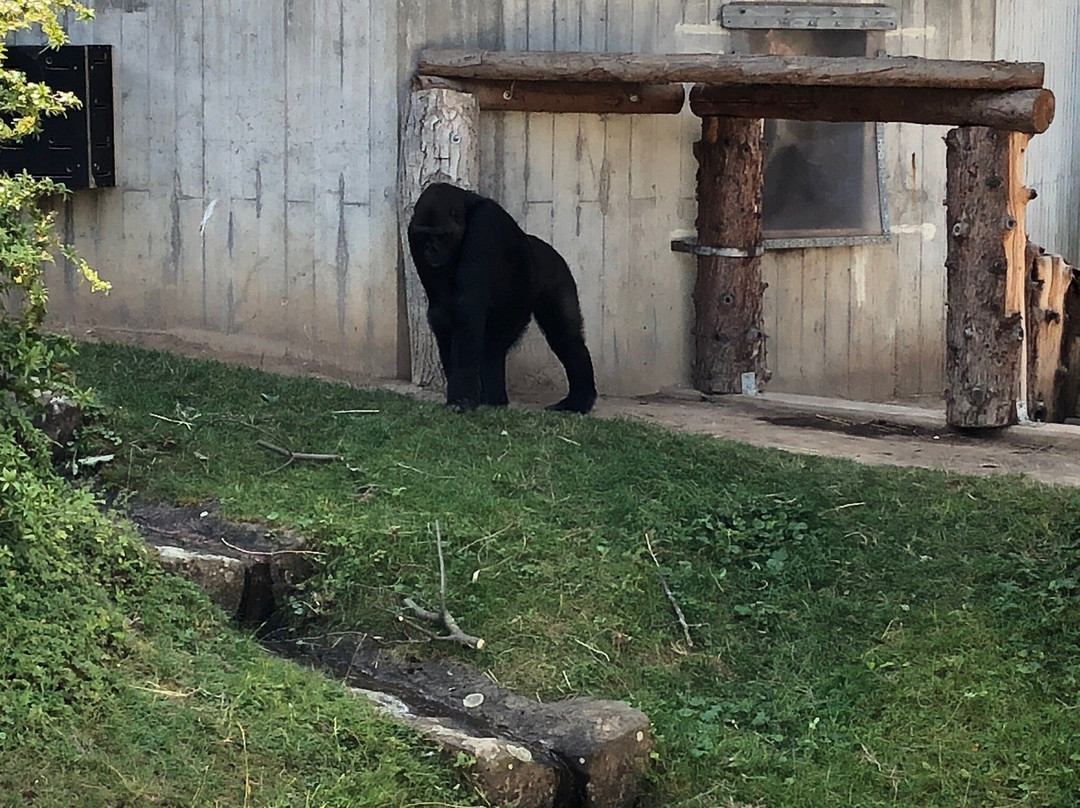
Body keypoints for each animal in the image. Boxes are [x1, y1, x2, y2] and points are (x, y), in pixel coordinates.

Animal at [408, 180, 600, 412]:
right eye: (423, 235)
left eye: (439, 235)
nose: (430, 249)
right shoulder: (413, 233)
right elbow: (442, 310)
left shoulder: (485, 223)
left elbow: (467, 306)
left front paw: (461, 398)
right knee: (494, 349)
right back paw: (494, 399)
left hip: (555, 270)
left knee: (564, 336)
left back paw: (579, 399)